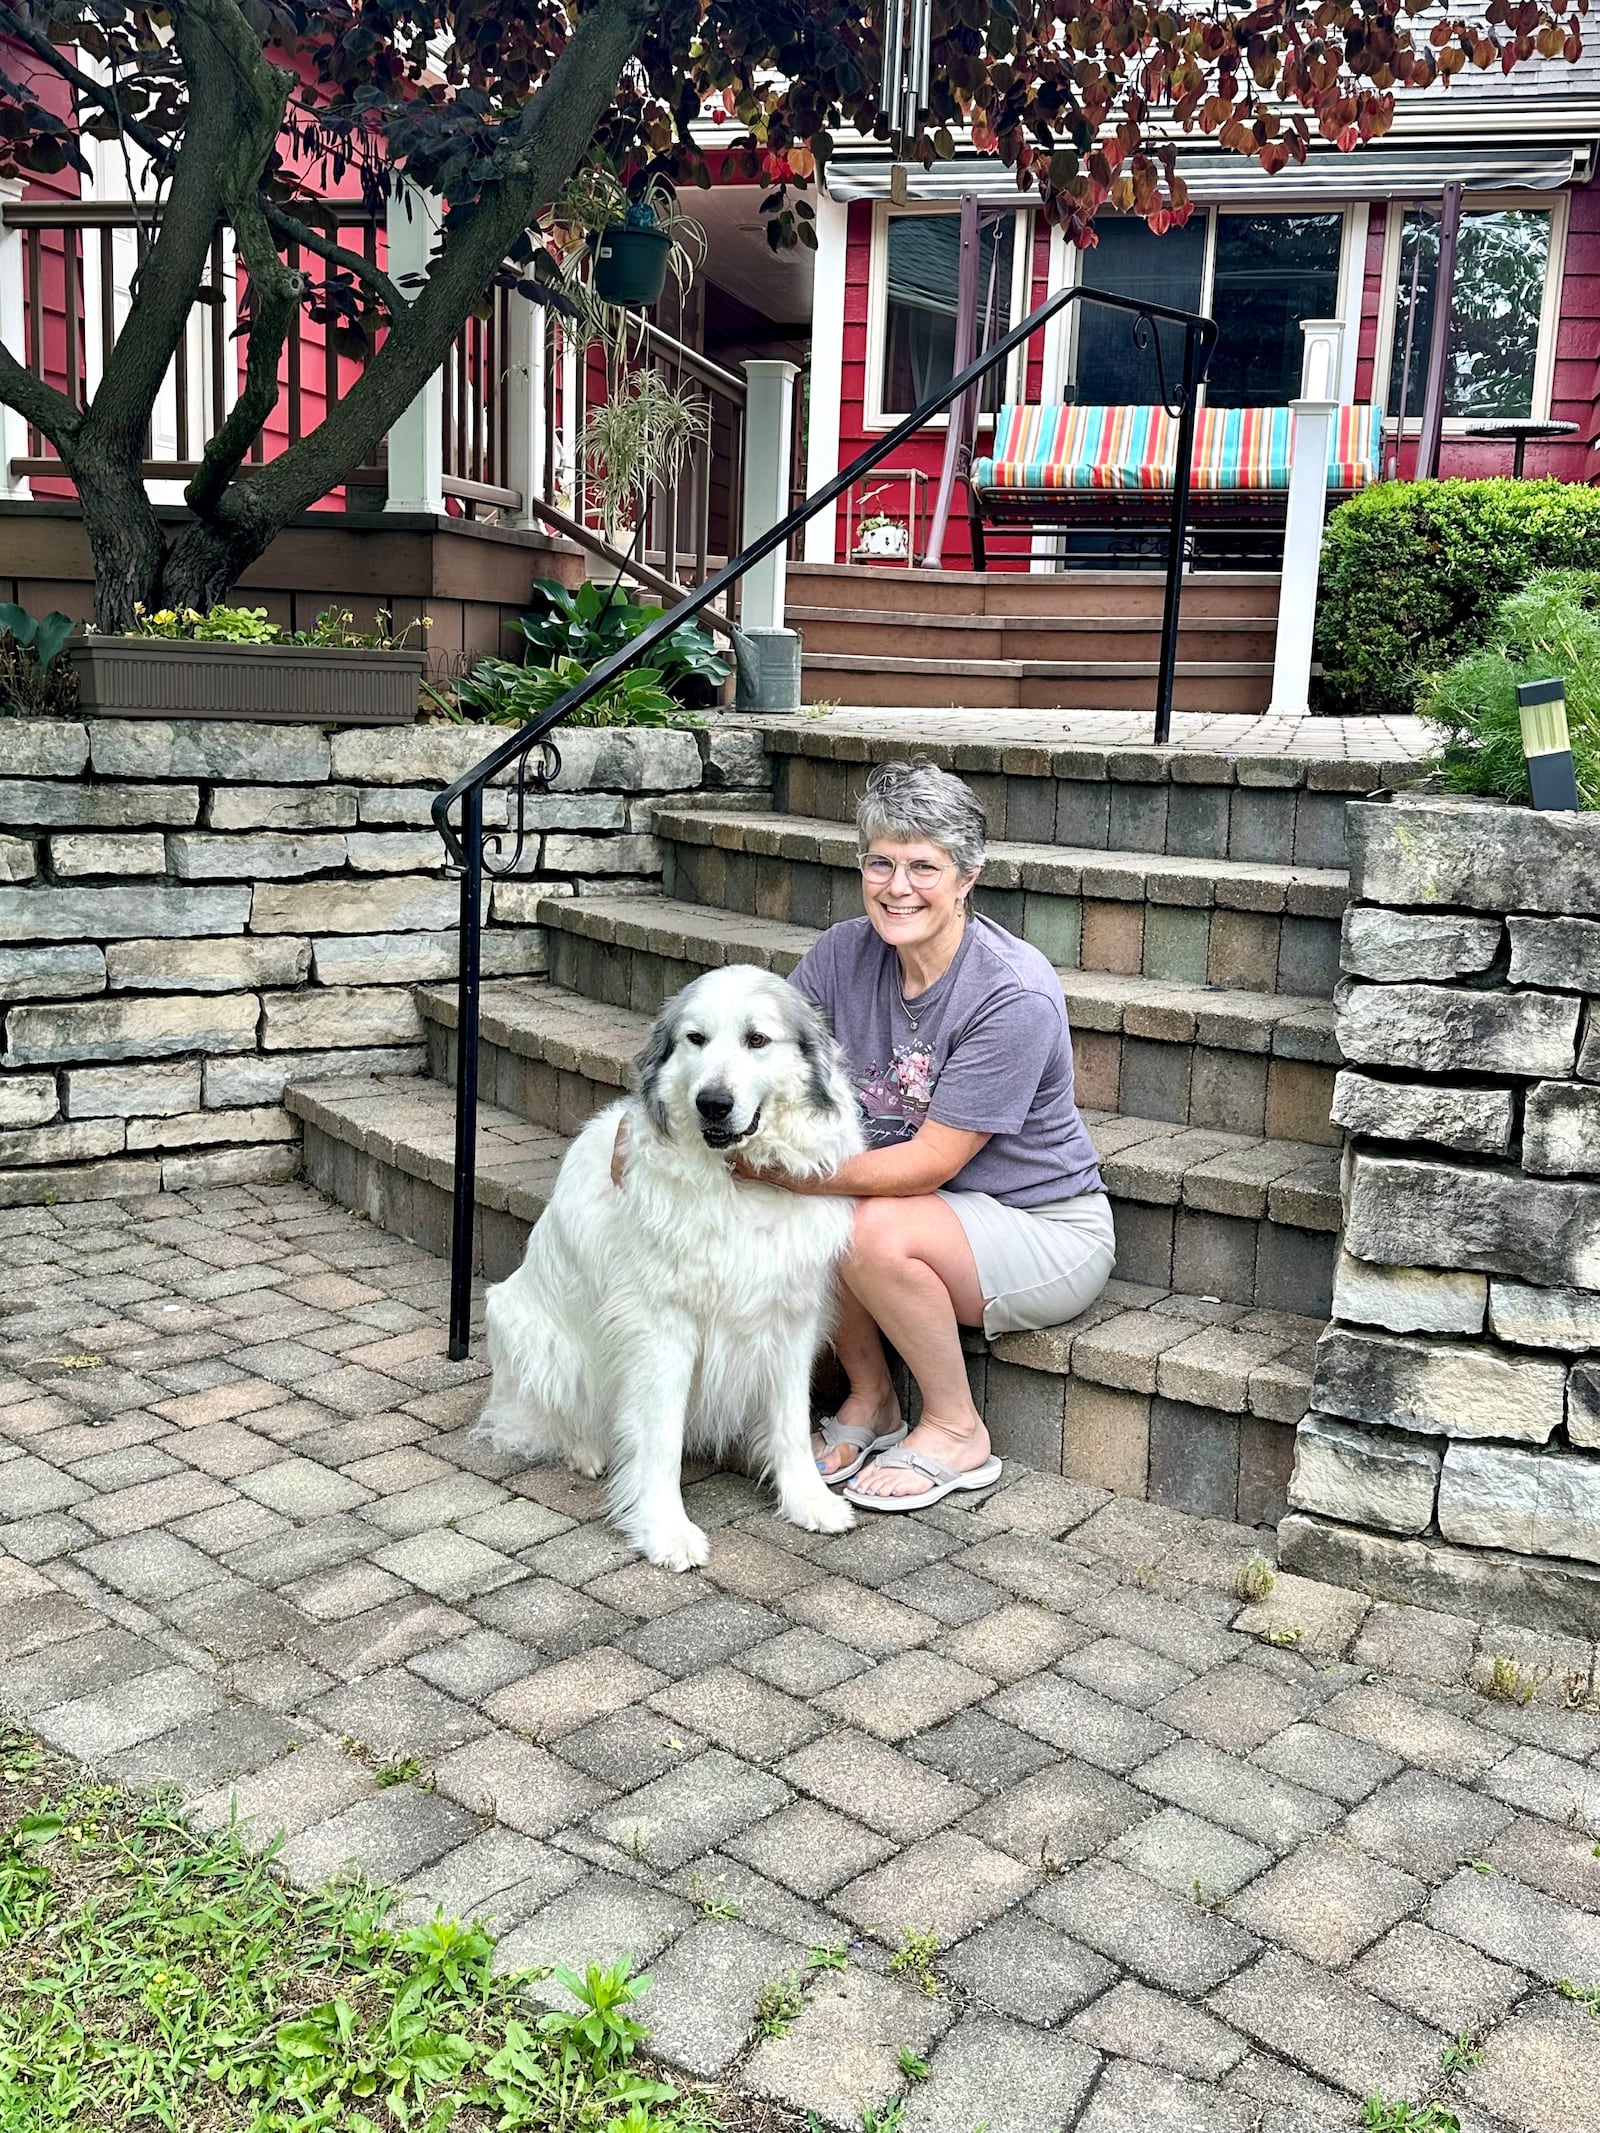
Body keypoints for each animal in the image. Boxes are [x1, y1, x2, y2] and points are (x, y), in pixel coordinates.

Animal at [475, 968, 866, 1569]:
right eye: (696, 1039)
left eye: (757, 1039)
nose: (713, 1103)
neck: (739, 1182)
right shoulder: (661, 1330)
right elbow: (658, 1440)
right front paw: (665, 1529)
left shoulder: (791, 1317)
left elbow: (792, 1424)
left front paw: (808, 1500)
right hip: (525, 1326)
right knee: (550, 1417)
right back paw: (588, 1451)